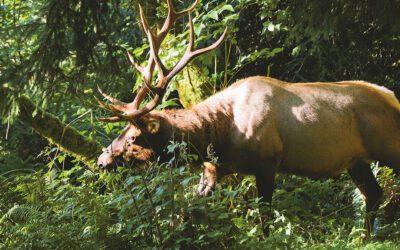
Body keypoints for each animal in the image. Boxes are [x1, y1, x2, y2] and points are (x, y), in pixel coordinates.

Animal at [97, 0, 400, 237]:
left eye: (133, 137)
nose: (102, 160)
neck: (217, 136)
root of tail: (393, 98)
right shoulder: (215, 170)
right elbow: (189, 211)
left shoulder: (267, 162)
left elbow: (264, 218)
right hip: (356, 161)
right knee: (373, 194)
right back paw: (363, 238)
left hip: (389, 148)